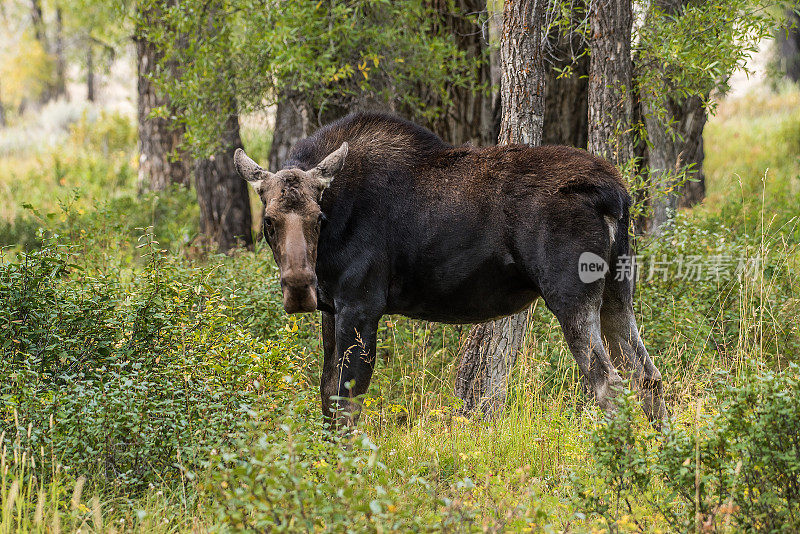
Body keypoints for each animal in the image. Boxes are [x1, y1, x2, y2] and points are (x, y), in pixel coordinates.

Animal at [233, 114, 668, 432]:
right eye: (268, 221)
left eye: (317, 217)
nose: (298, 287)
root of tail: (617, 195)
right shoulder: (331, 306)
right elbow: (326, 395)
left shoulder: (361, 304)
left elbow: (346, 401)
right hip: (617, 293)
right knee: (647, 375)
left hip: (571, 296)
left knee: (609, 384)